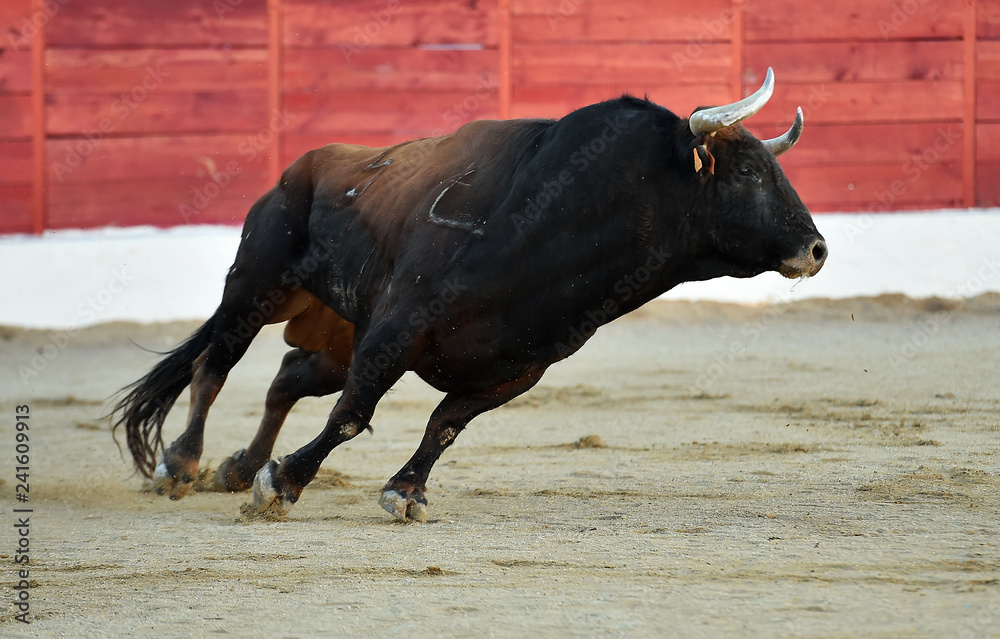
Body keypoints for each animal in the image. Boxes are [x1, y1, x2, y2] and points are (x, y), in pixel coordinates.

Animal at [111, 74, 828, 524]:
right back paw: (184, 463)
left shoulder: (517, 369)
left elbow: (445, 425)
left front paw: (404, 491)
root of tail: (300, 168)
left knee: (285, 378)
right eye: (748, 172)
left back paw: (238, 466)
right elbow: (353, 415)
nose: (817, 248)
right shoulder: (397, 328)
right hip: (257, 283)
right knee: (215, 365)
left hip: (335, 339)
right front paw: (282, 485)